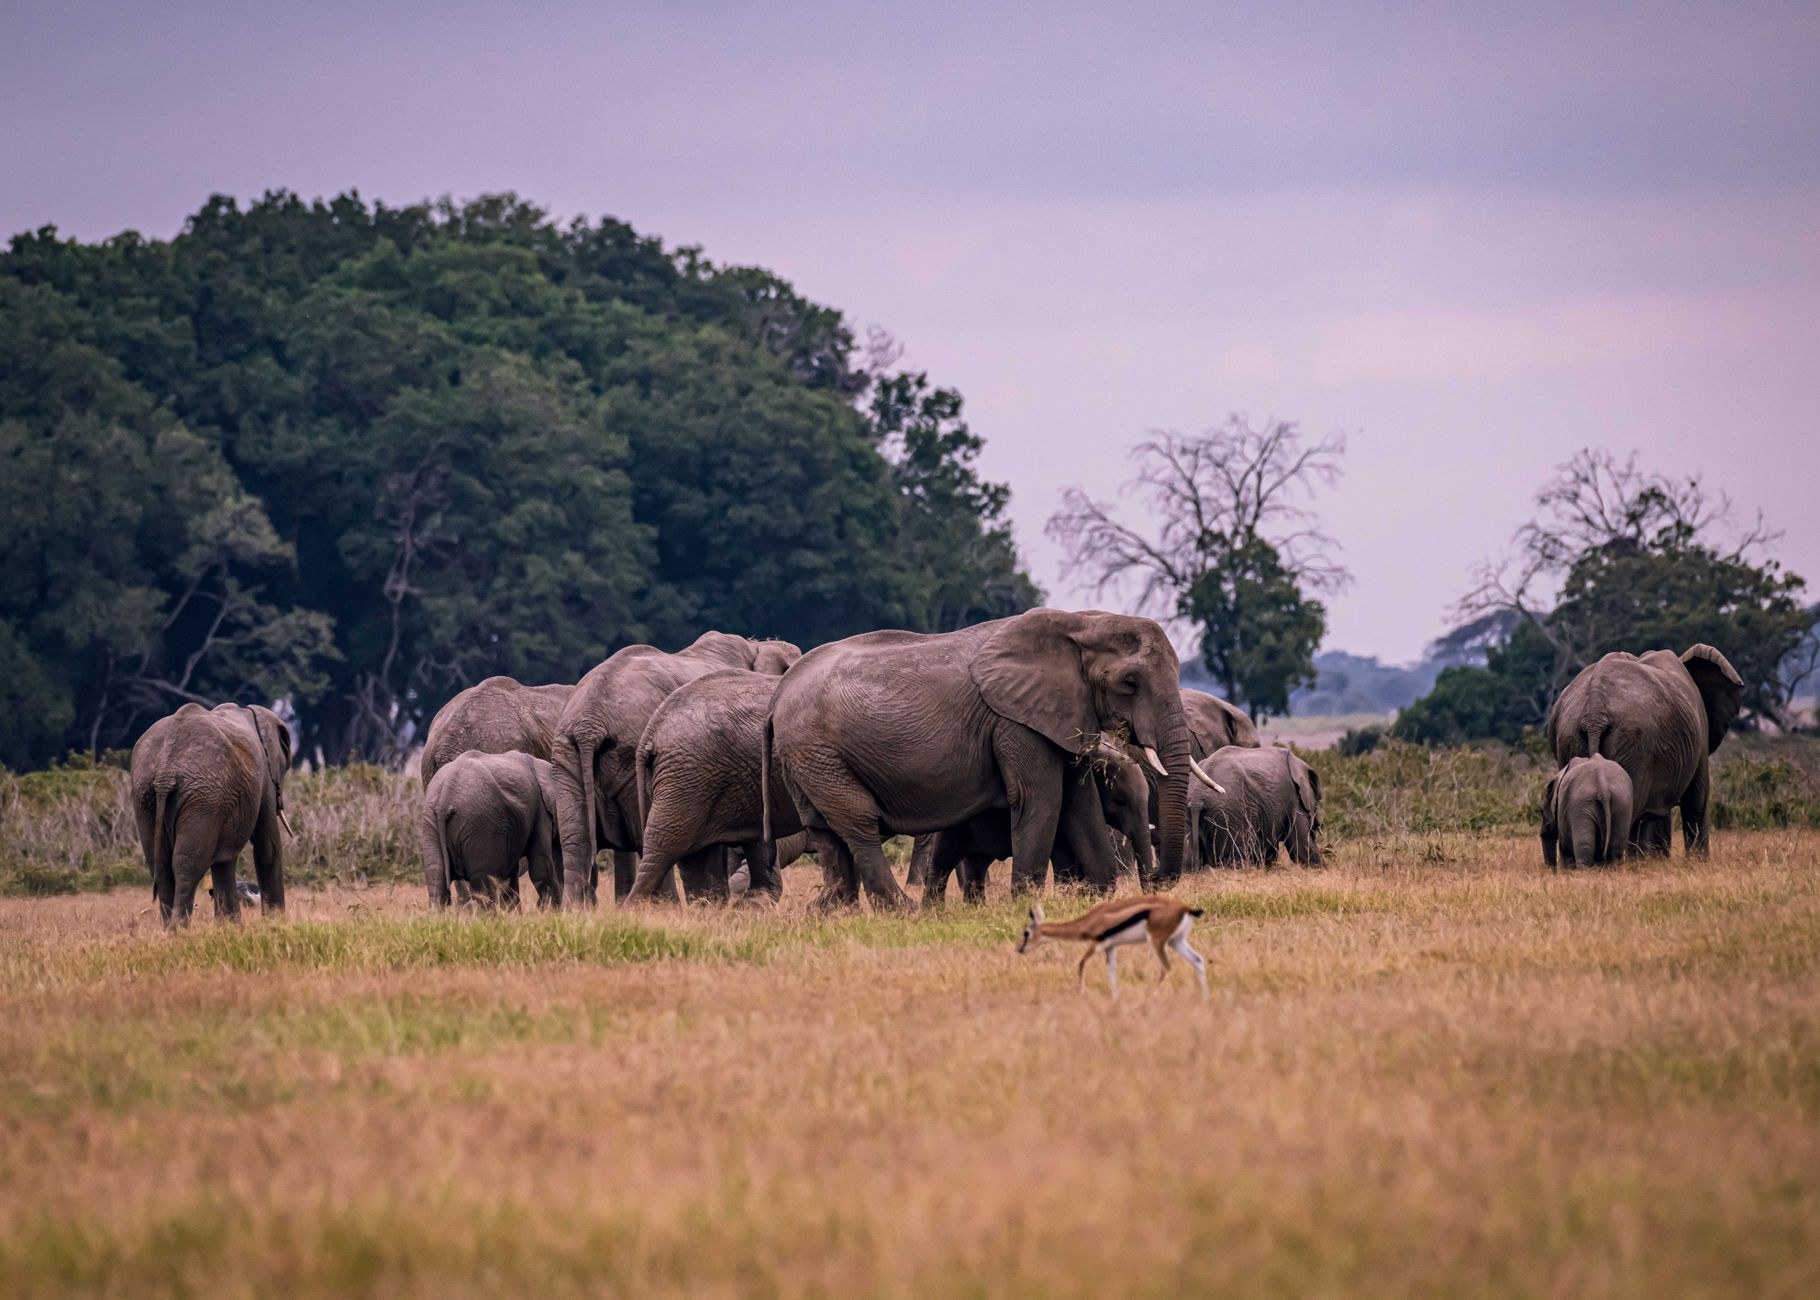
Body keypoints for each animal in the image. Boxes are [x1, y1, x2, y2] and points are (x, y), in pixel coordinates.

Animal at [130, 702, 294, 929]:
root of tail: (164, 773)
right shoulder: (265, 779)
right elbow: (267, 847)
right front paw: (275, 923)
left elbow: (224, 858)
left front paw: (230, 928)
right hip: (201, 799)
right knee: (187, 866)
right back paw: (178, 931)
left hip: (148, 796)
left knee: (160, 867)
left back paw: (167, 931)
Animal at [419, 750, 562, 908]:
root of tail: (445, 796)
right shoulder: (540, 811)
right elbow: (541, 865)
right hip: (479, 826)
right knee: (484, 888)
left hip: (430, 821)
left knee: (437, 885)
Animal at [766, 608, 1223, 909]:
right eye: (1130, 683)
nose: (1156, 882)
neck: (1082, 622)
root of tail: (779, 693)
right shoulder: (1015, 722)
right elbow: (1042, 799)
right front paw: (1028, 902)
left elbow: (1080, 804)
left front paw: (1095, 896)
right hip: (817, 750)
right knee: (859, 822)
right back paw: (901, 911)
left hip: (807, 756)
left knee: (826, 830)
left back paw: (832, 912)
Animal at [1185, 745, 1323, 869]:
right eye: (1318, 799)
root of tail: (1198, 799)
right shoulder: (1293, 800)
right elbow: (1302, 850)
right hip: (1229, 815)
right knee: (1236, 861)